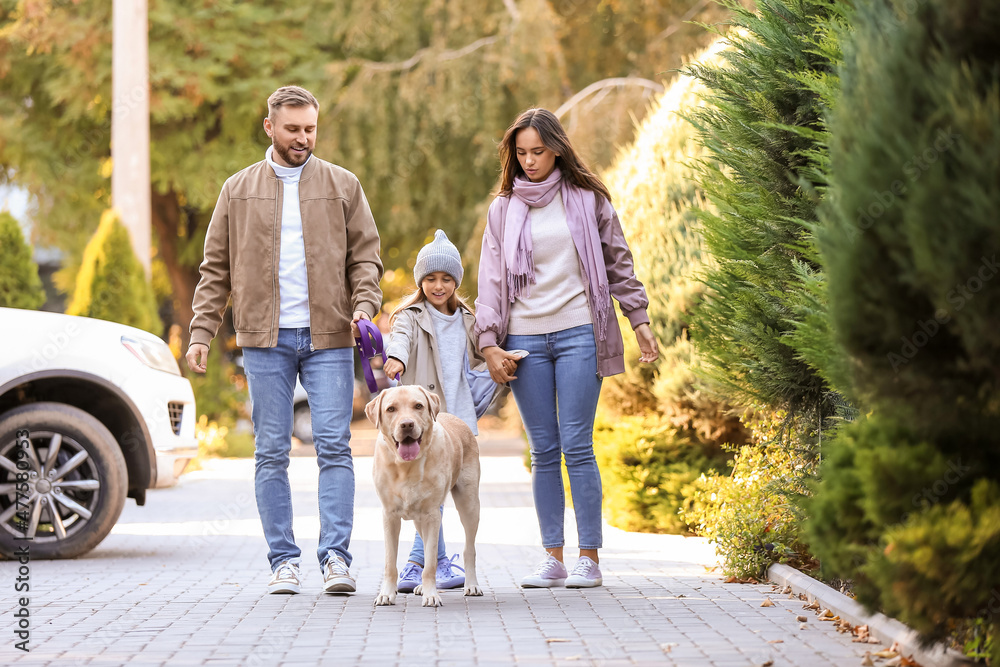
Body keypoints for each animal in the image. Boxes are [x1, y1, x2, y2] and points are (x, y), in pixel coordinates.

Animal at [368, 384, 484, 608]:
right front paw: (386, 594)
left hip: (469, 503)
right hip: (419, 520)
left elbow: (430, 562)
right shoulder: (389, 516)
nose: (406, 424)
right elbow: (390, 562)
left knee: (469, 549)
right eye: (391, 409)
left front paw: (432, 595)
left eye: (418, 406)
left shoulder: (432, 515)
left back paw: (472, 585)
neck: (406, 466)